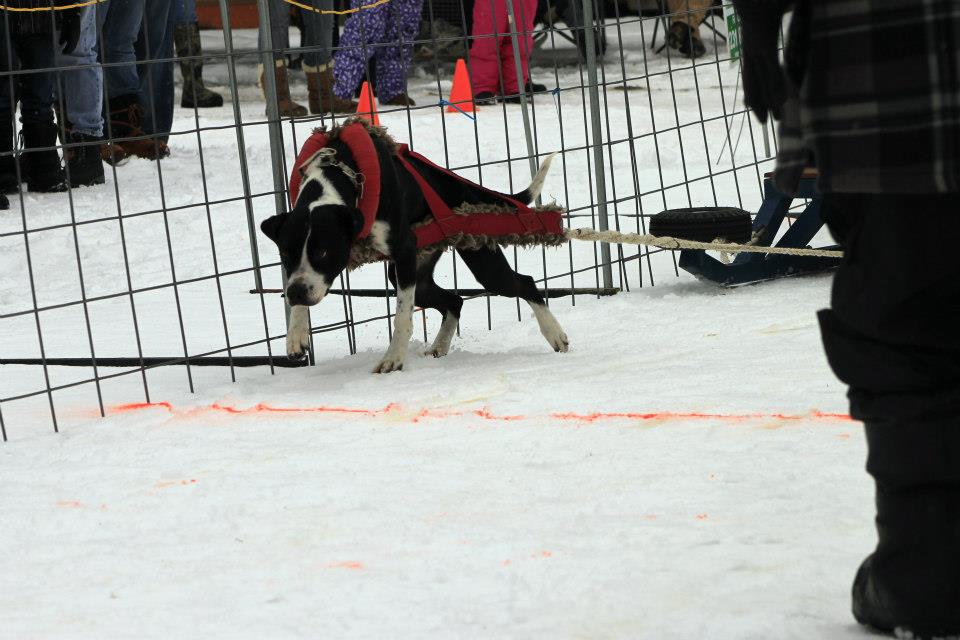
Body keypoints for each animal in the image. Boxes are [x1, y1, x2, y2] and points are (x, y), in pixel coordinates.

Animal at [258, 128, 568, 372]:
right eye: (285, 253)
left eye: (324, 252)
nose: (297, 293)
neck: (338, 172)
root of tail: (462, 186)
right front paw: (296, 333)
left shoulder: (404, 252)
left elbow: (402, 316)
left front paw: (394, 358)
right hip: (416, 273)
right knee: (455, 300)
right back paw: (440, 346)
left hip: (481, 263)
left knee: (525, 283)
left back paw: (555, 335)